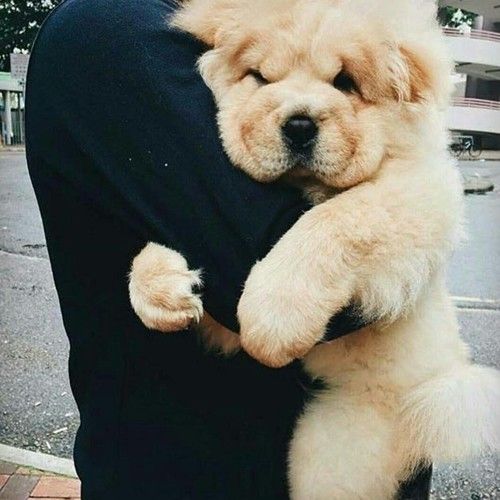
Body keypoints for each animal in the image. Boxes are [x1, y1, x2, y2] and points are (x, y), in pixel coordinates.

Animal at [128, 1, 500, 498]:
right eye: (260, 77)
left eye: (345, 82)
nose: (300, 124)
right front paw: (164, 291)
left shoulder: (420, 189)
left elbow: (335, 221)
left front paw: (273, 321)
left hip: (338, 450)